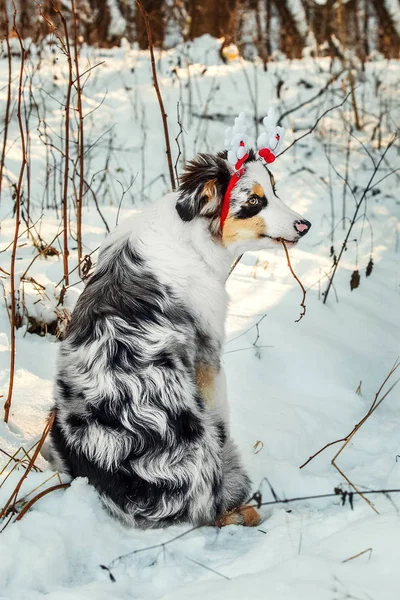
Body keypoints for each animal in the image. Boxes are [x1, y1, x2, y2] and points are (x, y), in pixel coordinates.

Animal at [47, 146, 310, 528]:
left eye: (274, 191)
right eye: (254, 201)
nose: (305, 225)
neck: (191, 237)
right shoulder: (209, 358)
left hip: (56, 422)